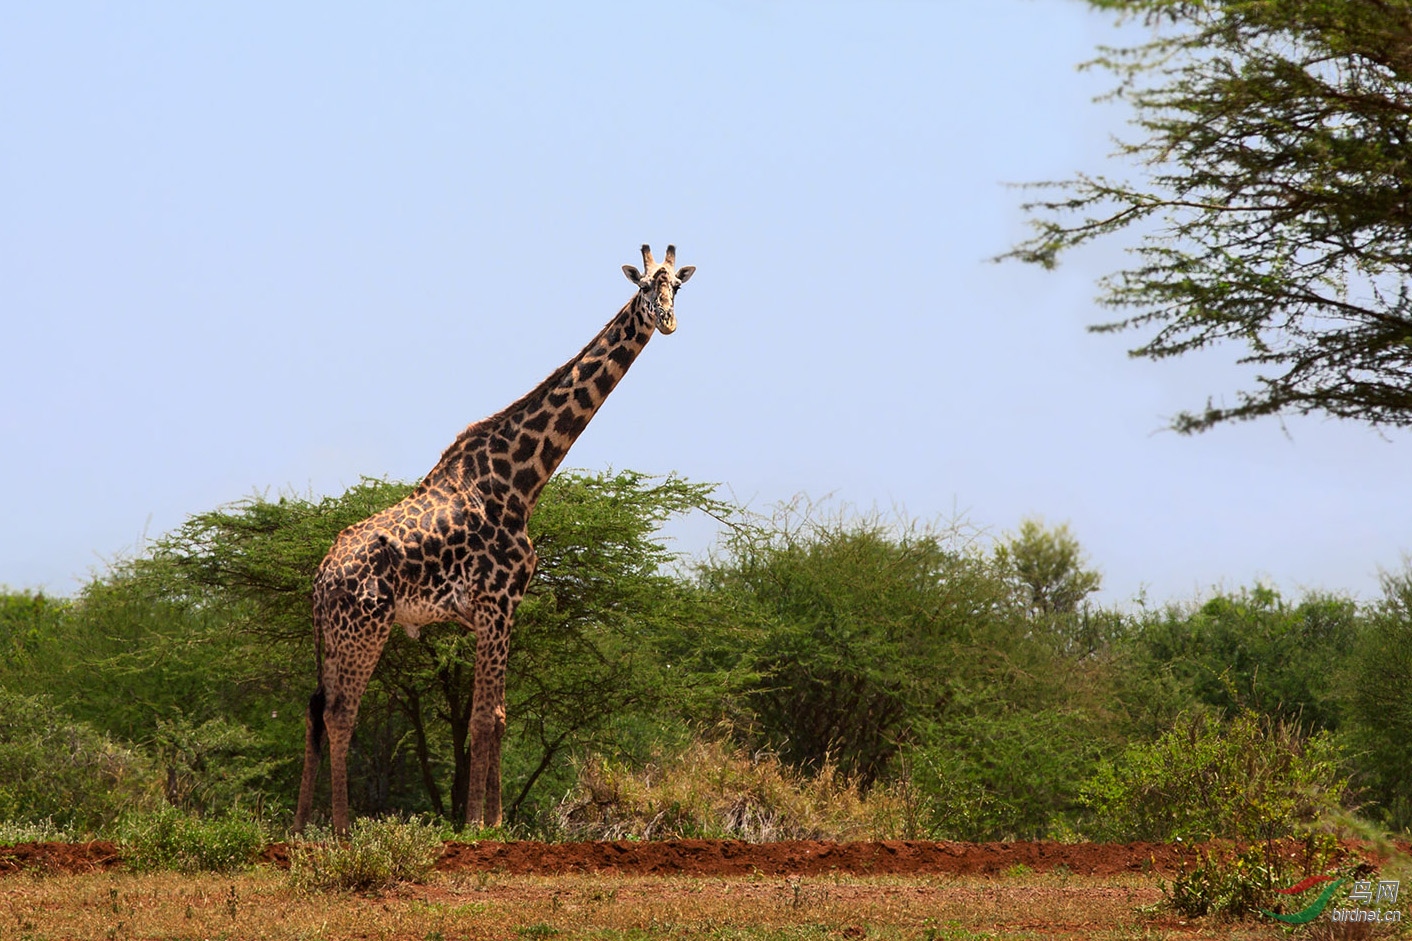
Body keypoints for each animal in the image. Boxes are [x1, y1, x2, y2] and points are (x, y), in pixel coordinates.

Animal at [292, 241, 694, 830]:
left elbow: (500, 715)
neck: (522, 481)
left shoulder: (501, 609)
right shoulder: (495, 602)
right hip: (364, 626)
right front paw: (477, 826)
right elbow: (484, 718)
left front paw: (498, 822)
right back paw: (342, 833)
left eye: (677, 287)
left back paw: (300, 828)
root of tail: (320, 579)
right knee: (343, 713)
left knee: (316, 710)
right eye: (644, 286)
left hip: (334, 634)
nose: (665, 320)